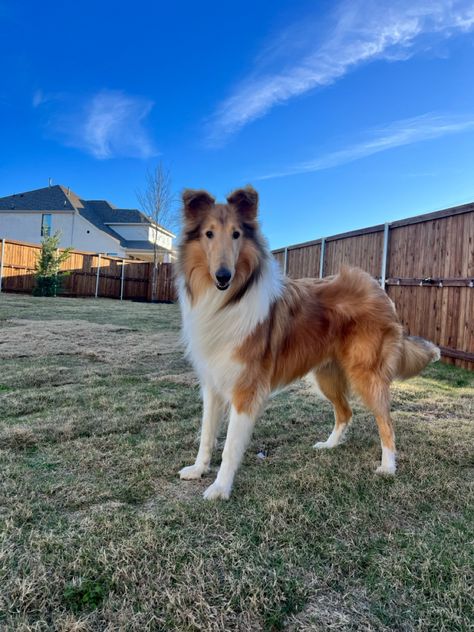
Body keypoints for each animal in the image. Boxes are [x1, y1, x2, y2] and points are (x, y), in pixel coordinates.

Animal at [177, 185, 440, 502]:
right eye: (209, 234)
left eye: (237, 234)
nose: (223, 276)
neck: (228, 300)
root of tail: (379, 291)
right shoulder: (213, 383)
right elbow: (206, 435)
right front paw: (198, 469)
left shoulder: (245, 389)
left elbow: (229, 447)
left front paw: (219, 487)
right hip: (327, 375)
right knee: (345, 412)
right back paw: (330, 446)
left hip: (366, 375)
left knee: (386, 422)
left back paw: (388, 467)